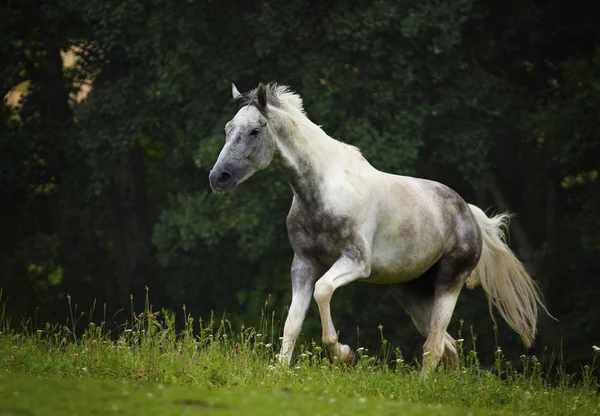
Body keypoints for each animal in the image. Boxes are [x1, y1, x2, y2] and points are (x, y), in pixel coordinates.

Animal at [210, 82, 548, 380]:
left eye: (255, 130)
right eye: (228, 128)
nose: (218, 178)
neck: (321, 192)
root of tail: (469, 213)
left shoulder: (356, 262)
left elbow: (323, 291)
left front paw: (344, 355)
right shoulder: (303, 263)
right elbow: (292, 322)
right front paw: (280, 371)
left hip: (450, 282)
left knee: (434, 346)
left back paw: (424, 389)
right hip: (411, 293)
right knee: (449, 346)